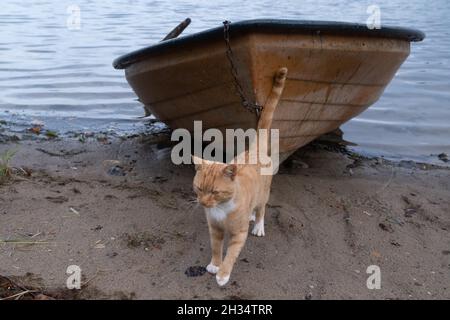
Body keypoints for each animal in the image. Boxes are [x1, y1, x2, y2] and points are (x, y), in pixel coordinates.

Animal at [192, 67, 286, 284]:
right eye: (199, 189)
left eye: (215, 192)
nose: (203, 203)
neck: (221, 209)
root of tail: (255, 148)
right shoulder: (215, 230)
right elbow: (216, 248)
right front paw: (214, 264)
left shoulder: (238, 234)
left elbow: (231, 254)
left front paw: (223, 274)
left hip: (264, 194)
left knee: (261, 210)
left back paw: (258, 225)